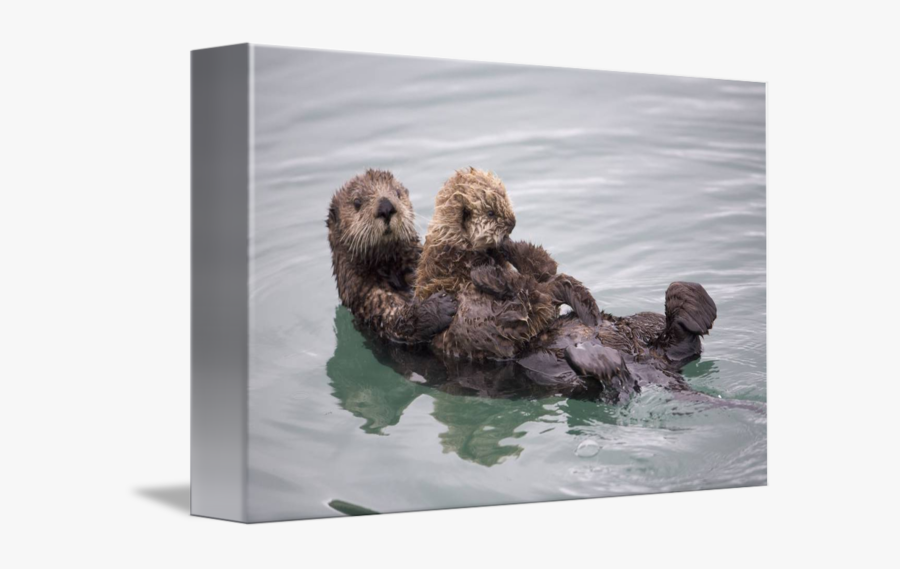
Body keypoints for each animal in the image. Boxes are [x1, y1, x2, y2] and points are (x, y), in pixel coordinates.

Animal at [326, 169, 457, 344]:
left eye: (397, 193)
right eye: (357, 202)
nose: (386, 207)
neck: (392, 270)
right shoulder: (367, 297)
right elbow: (394, 322)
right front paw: (440, 305)